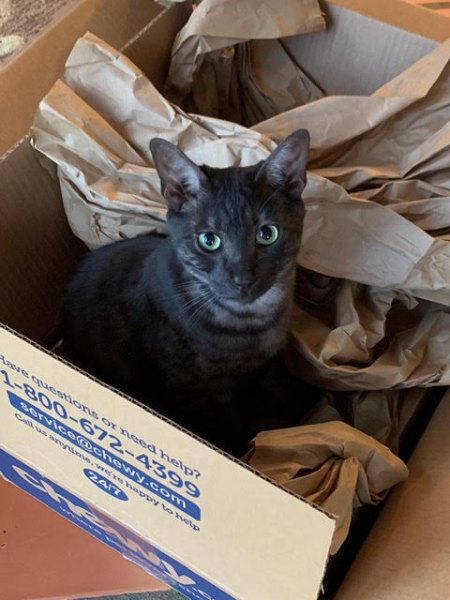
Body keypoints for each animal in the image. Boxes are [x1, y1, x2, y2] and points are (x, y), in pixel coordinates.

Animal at [62, 128, 310, 455]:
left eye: (267, 234)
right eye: (209, 240)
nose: (242, 279)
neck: (251, 324)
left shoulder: (265, 366)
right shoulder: (195, 393)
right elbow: (224, 428)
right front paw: (237, 448)